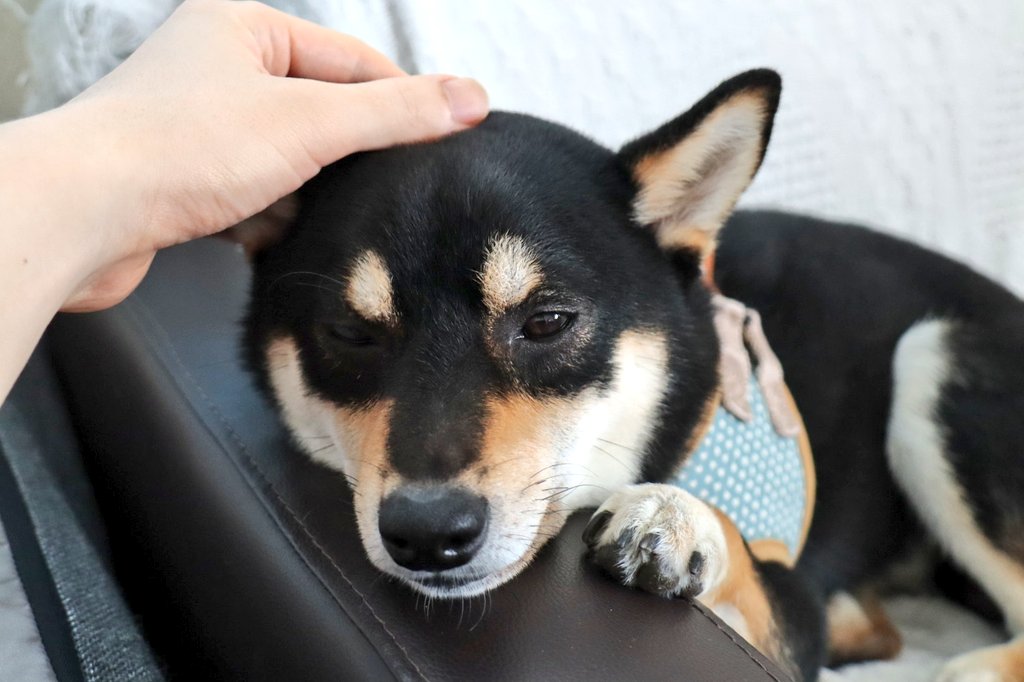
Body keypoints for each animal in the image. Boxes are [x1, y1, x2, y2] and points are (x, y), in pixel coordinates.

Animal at [240, 70, 1024, 681]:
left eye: (547, 322)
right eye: (349, 334)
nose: (428, 533)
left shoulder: (790, 609)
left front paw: (682, 519)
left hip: (933, 360)